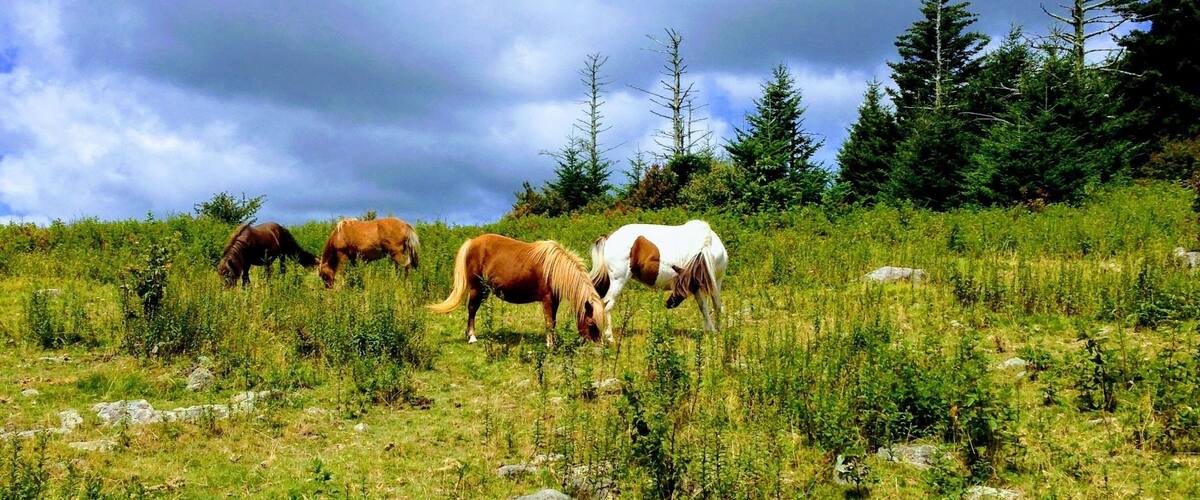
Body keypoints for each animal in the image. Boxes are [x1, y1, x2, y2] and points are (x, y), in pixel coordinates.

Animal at [428, 234, 606, 347]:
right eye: (591, 323)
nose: (597, 346)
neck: (554, 268)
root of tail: (471, 242)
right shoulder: (547, 299)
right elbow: (549, 322)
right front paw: (550, 345)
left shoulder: (554, 300)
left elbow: (553, 322)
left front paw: (554, 342)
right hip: (476, 288)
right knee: (472, 309)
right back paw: (472, 337)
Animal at [589, 220, 727, 341]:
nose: (669, 304)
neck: (707, 245)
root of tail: (609, 237)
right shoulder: (707, 282)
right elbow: (712, 305)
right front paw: (714, 331)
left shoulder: (704, 283)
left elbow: (707, 306)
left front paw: (711, 330)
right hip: (618, 282)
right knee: (606, 305)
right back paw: (609, 338)